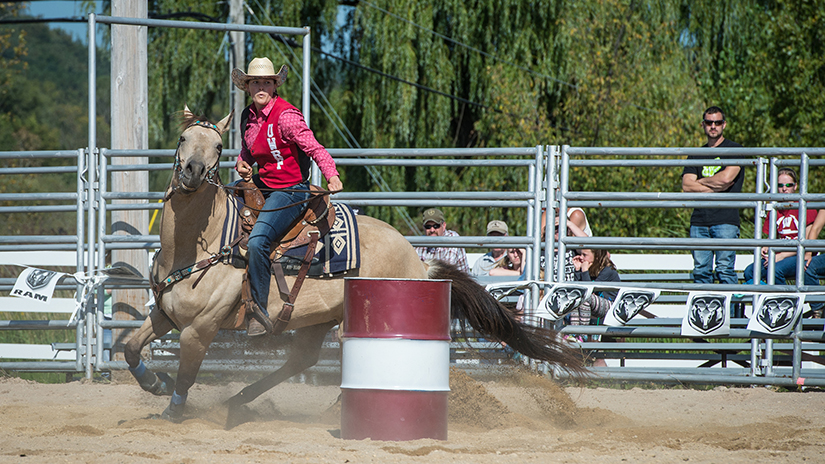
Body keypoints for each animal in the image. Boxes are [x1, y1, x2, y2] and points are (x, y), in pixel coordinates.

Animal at [124, 108, 584, 428]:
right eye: (183, 137)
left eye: (218, 147)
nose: (192, 172)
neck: (199, 243)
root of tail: (418, 262)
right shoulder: (165, 314)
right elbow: (129, 348)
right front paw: (153, 383)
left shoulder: (200, 329)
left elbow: (187, 375)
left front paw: (172, 410)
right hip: (317, 319)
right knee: (301, 361)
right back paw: (239, 403)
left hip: (347, 321)